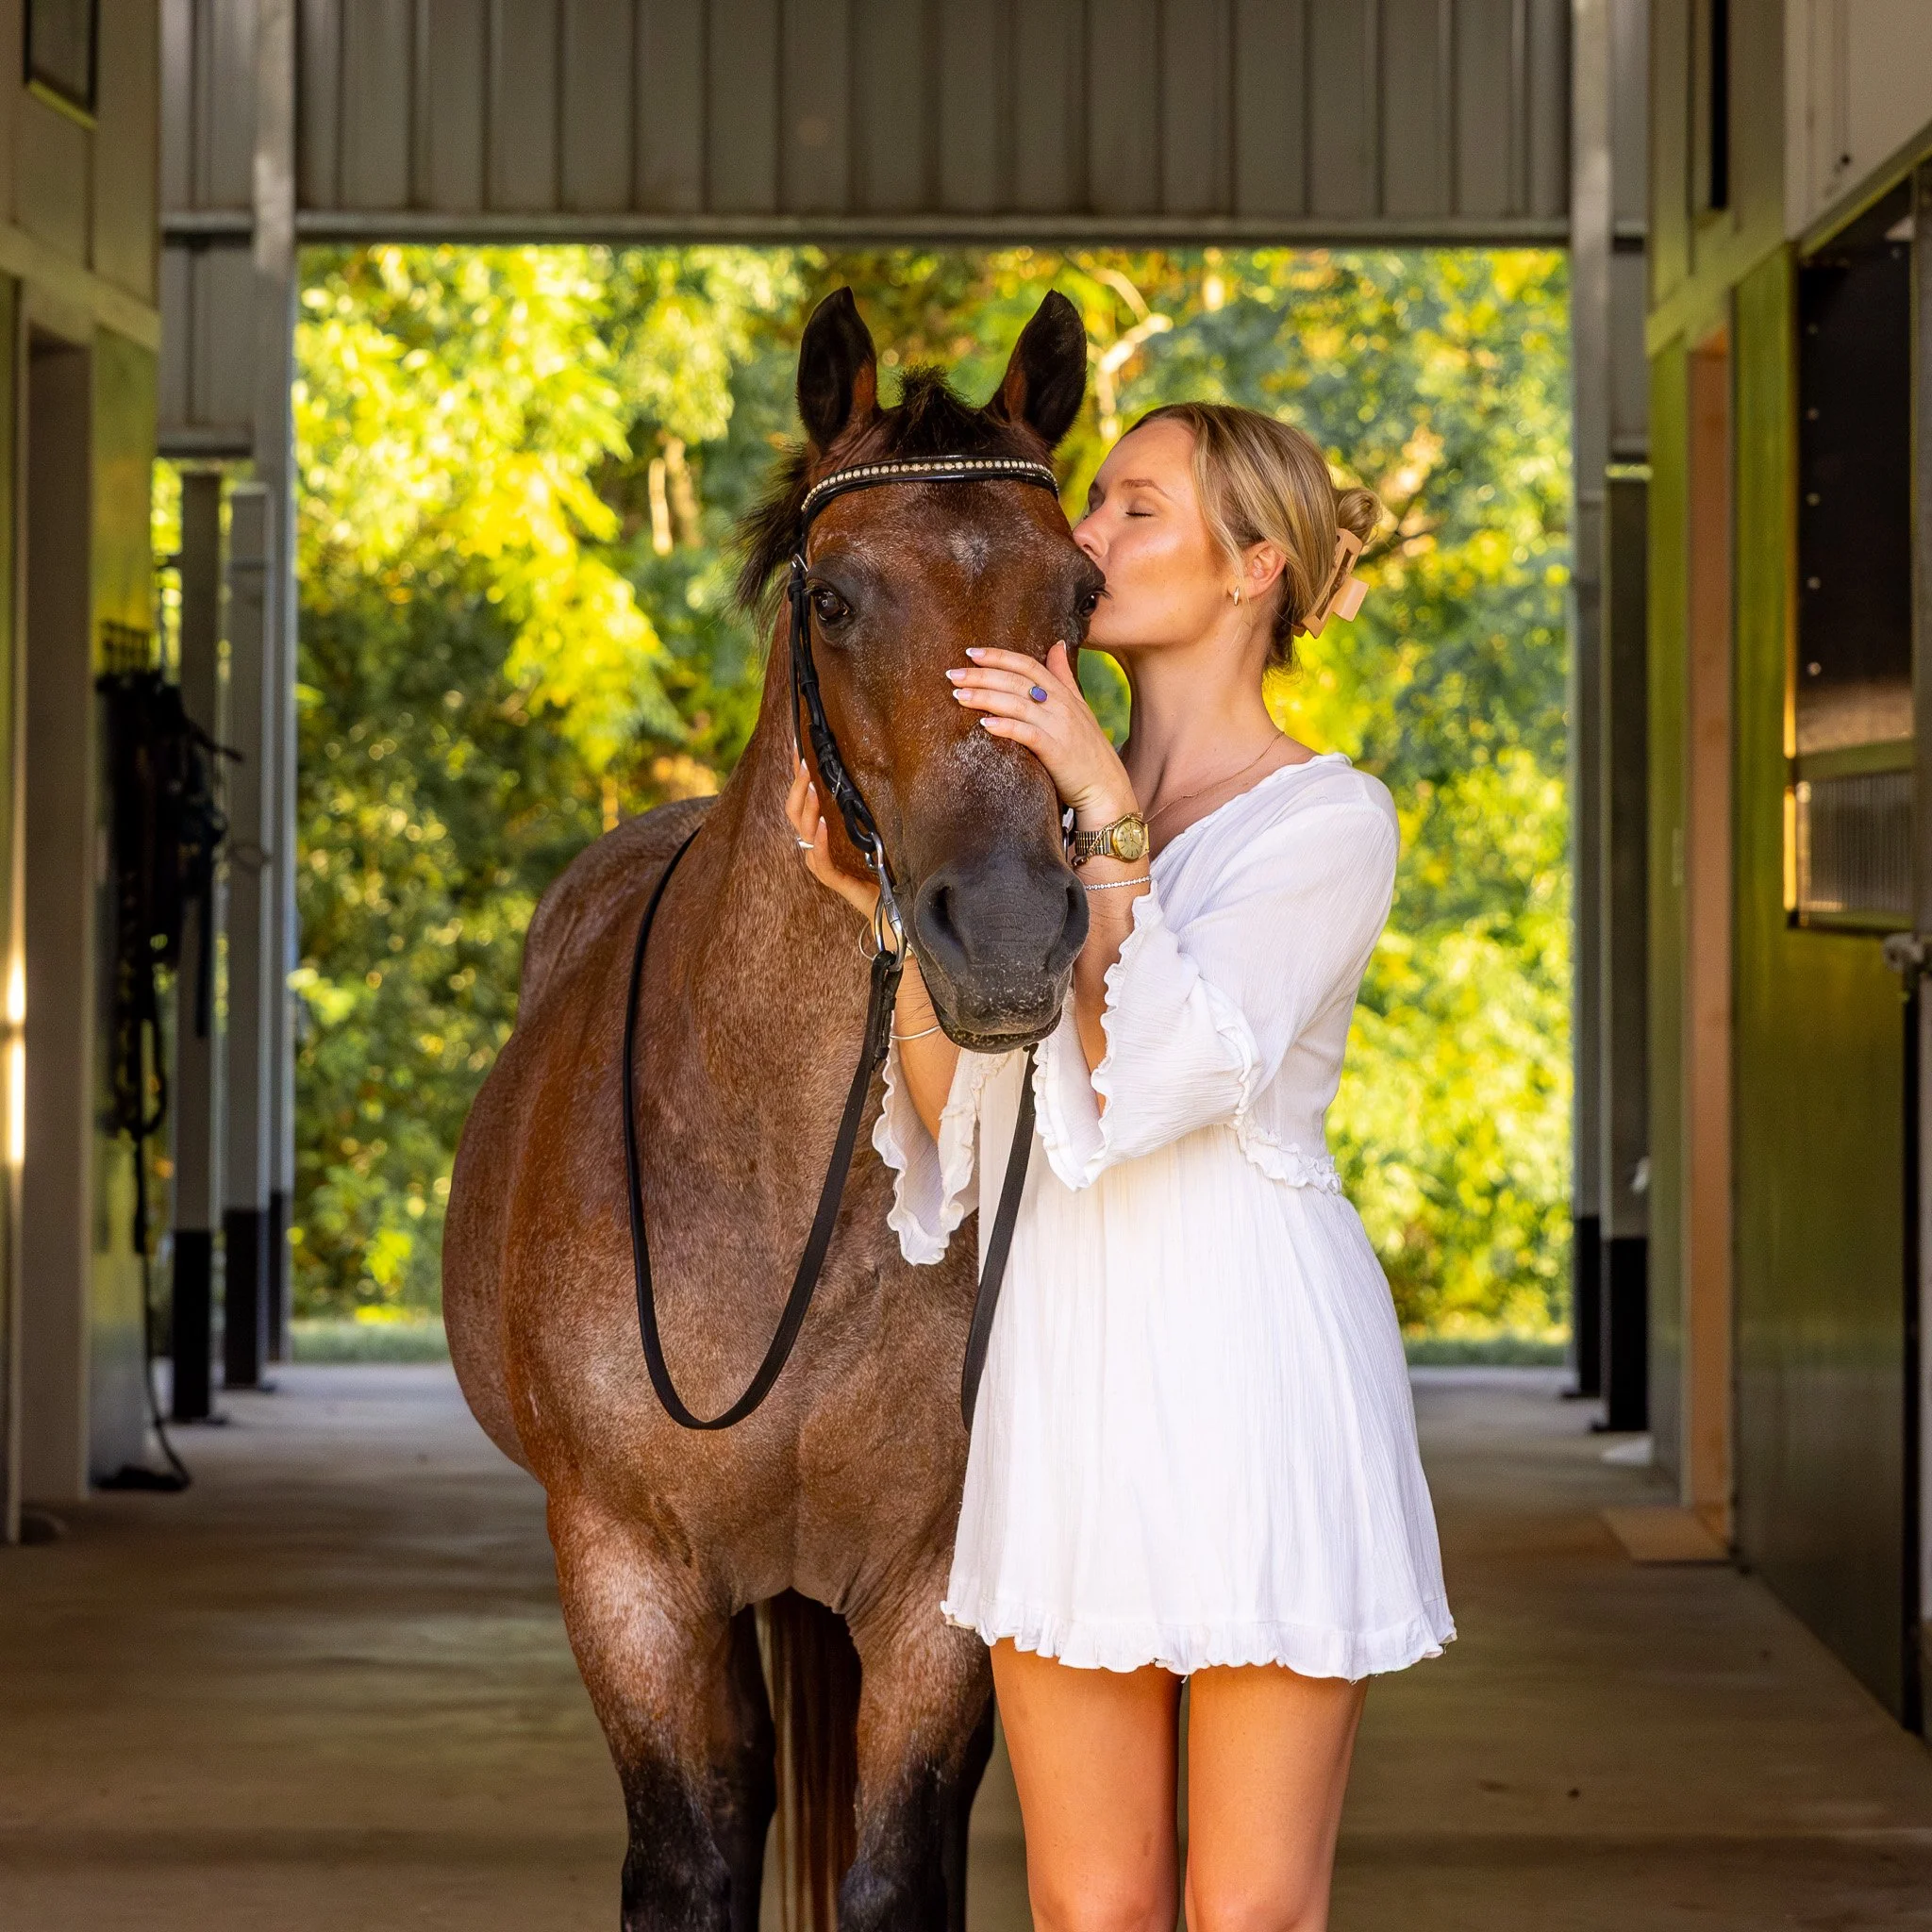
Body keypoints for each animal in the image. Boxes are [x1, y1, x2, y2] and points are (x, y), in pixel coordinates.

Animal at [443, 287, 1097, 1931]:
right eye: (836, 600)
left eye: (1082, 594)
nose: (1009, 935)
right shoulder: (629, 1578)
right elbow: (692, 1855)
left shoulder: (936, 1588)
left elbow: (892, 1866)